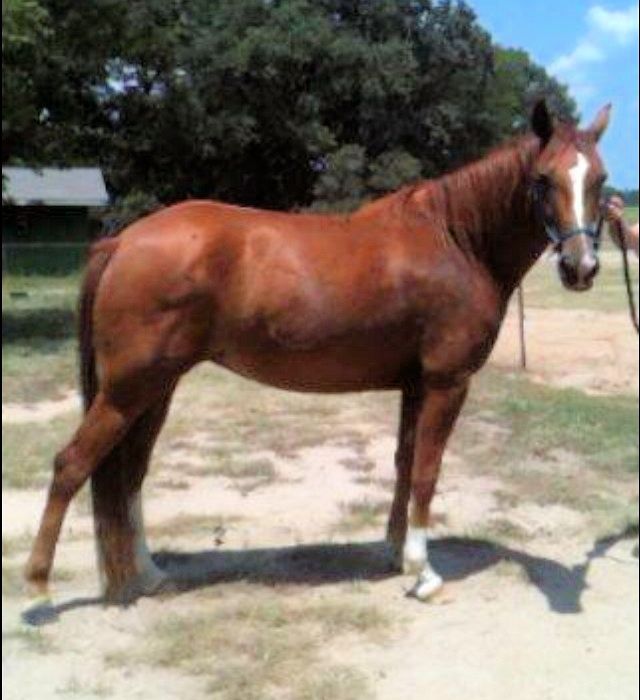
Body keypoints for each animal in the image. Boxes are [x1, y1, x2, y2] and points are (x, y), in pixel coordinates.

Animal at [24, 99, 610, 610]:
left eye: (601, 181)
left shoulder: (415, 383)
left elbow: (404, 464)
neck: (456, 239)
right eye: (543, 179)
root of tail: (121, 242)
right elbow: (427, 470)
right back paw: (38, 587)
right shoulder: (447, 381)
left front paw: (396, 553)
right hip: (129, 390)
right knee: (73, 464)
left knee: (130, 473)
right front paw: (424, 575)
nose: (580, 268)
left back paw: (148, 574)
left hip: (154, 390)